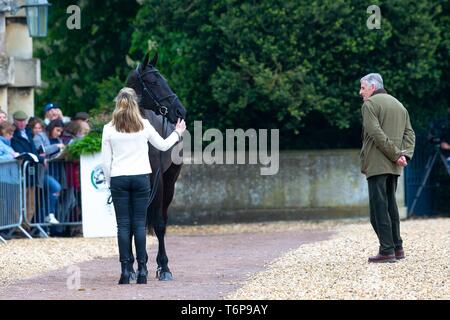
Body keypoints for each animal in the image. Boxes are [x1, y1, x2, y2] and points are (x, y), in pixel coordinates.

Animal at [125, 52, 185, 280]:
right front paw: (132, 269)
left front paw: (164, 267)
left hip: (169, 183)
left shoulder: (157, 181)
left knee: (162, 220)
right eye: (153, 82)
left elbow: (158, 223)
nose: (180, 110)